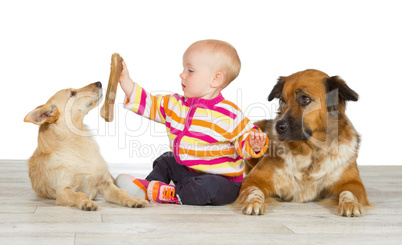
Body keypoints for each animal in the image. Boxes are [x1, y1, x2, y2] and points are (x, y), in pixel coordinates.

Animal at [24, 82, 148, 211]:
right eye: (72, 93)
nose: (99, 83)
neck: (78, 141)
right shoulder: (63, 191)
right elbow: (77, 195)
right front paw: (86, 202)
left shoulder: (105, 184)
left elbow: (121, 193)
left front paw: (133, 200)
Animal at [239, 68, 370, 216]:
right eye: (282, 101)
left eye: (305, 99)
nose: (278, 127)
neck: (310, 152)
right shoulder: (253, 180)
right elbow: (253, 191)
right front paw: (253, 202)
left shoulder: (353, 183)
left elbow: (348, 192)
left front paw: (350, 204)